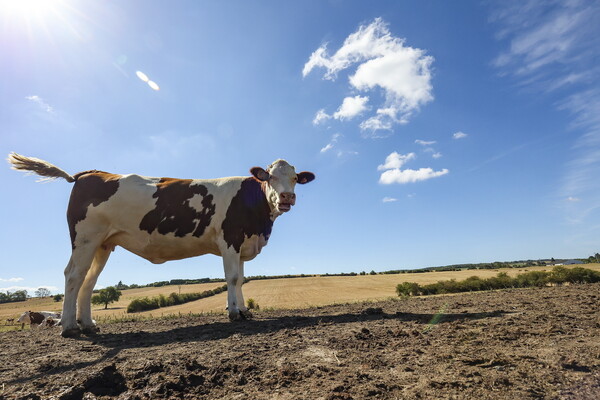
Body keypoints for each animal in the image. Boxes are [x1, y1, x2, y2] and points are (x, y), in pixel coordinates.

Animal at [8, 153, 314, 338]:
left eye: (295, 179)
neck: (258, 221)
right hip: (85, 238)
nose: (287, 197)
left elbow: (240, 279)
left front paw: (245, 310)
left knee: (87, 280)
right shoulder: (229, 239)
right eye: (270, 177)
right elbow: (233, 278)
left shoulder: (241, 242)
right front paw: (234, 313)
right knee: (73, 275)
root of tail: (89, 173)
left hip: (102, 244)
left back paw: (88, 324)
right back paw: (70, 327)